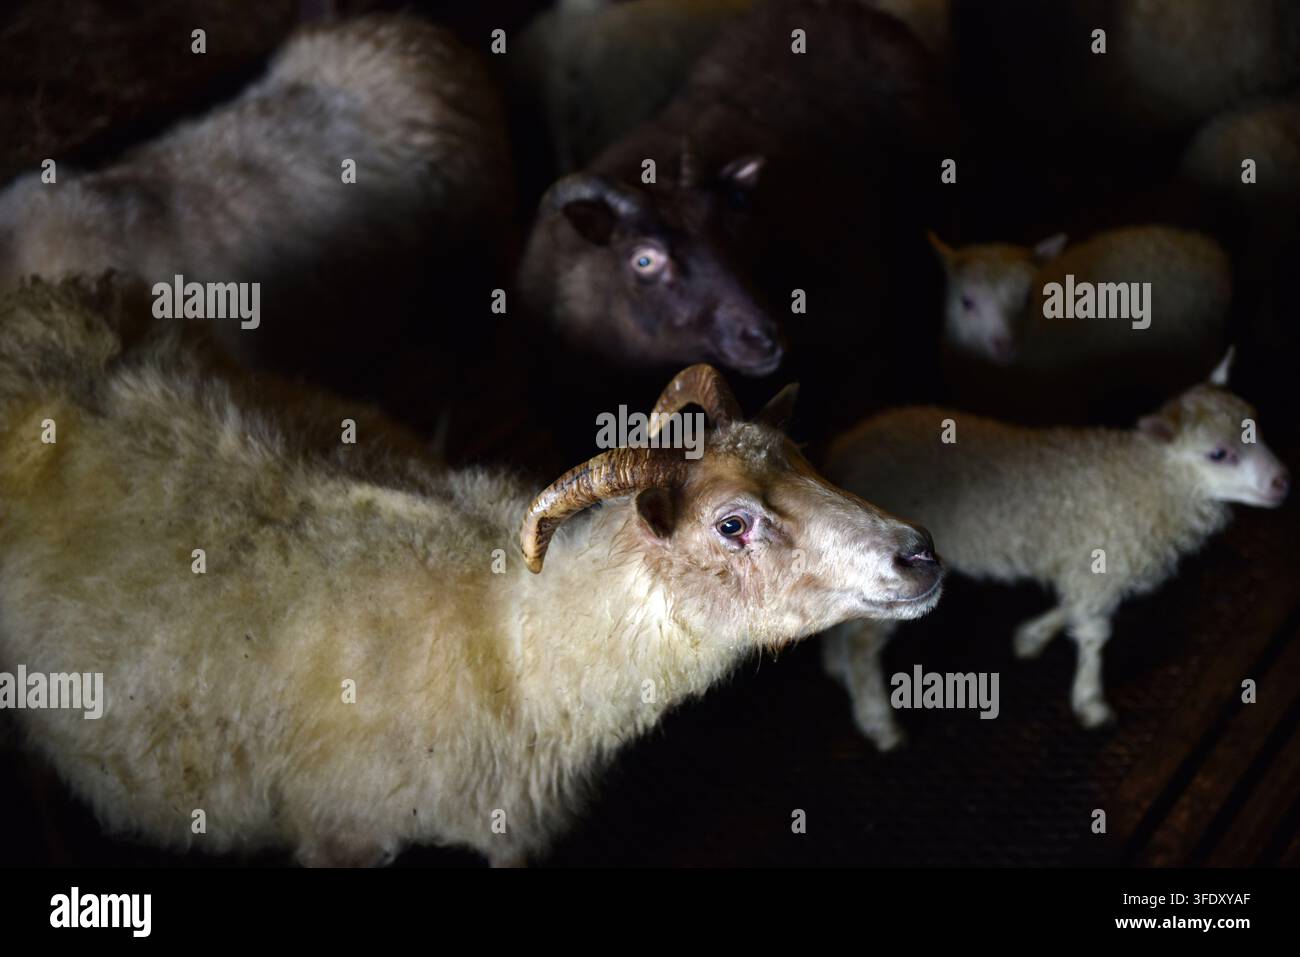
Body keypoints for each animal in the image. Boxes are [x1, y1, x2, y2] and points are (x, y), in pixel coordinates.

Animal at [821, 351, 1290, 751]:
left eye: (1256, 428)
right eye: (1218, 453)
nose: (1282, 482)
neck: (1150, 480)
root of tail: (842, 451)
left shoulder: (1091, 558)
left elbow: (1075, 606)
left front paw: (1033, 636)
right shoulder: (1102, 555)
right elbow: (1096, 632)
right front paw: (1091, 701)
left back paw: (838, 669)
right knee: (862, 641)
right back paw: (878, 721)